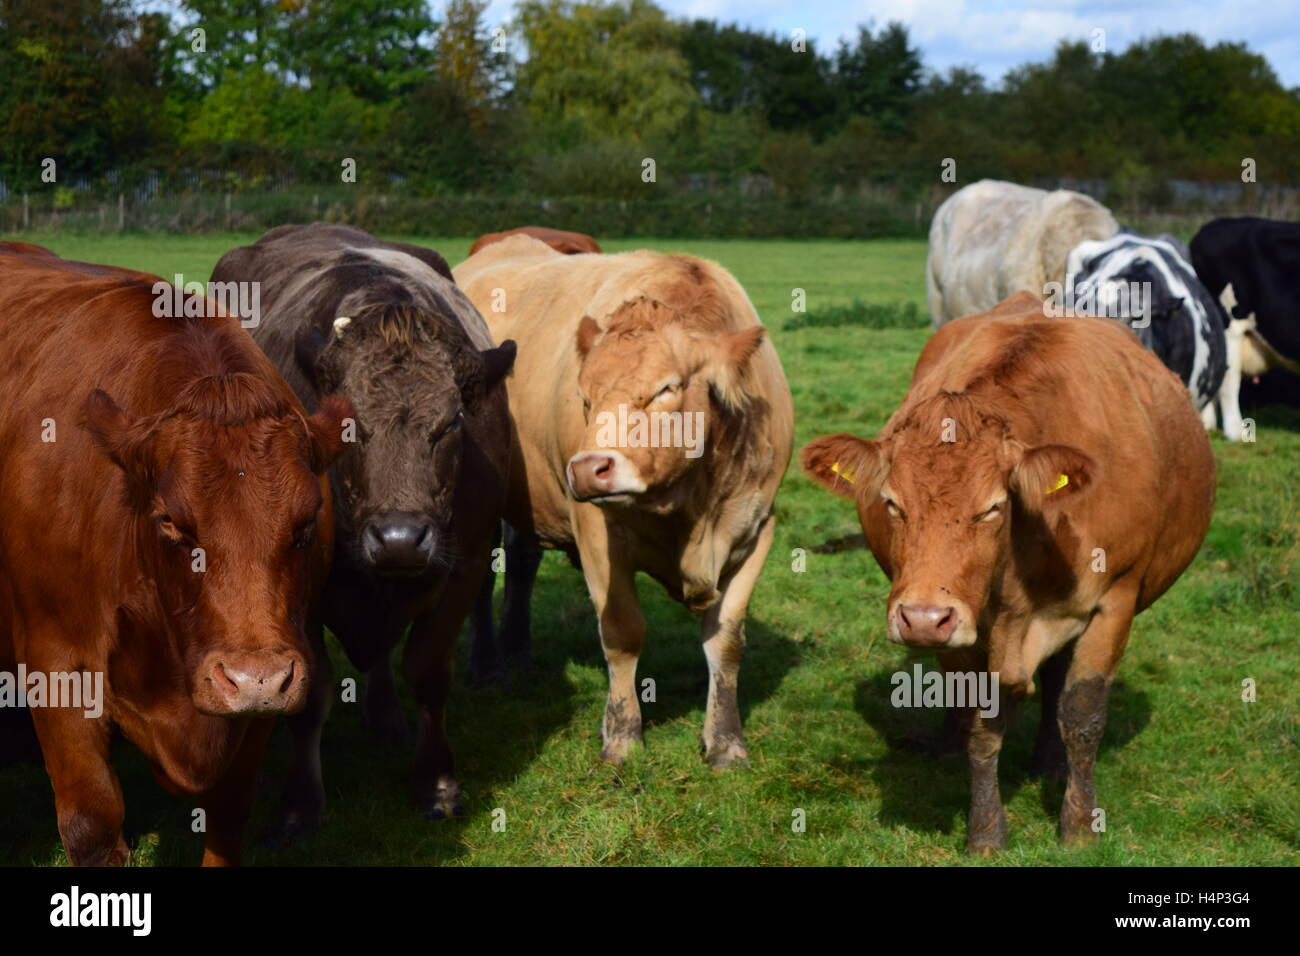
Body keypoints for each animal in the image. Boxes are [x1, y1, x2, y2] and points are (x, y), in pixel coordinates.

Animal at [0, 242, 351, 865]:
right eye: (169, 520)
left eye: (307, 523)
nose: (253, 678)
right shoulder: (54, 659)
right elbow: (92, 822)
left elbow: (229, 815)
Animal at [210, 223, 515, 841]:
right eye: (348, 425)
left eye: (451, 423)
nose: (399, 539)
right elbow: (309, 694)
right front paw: (300, 804)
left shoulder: (467, 564)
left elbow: (428, 671)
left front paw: (437, 783)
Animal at [454, 235, 793, 768]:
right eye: (584, 396)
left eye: (667, 388)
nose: (587, 468)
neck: (691, 507)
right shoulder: (596, 532)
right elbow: (622, 632)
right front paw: (622, 736)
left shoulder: (756, 529)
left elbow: (726, 642)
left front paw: (725, 741)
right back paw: (489, 665)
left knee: (524, 561)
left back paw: (520, 650)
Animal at [802, 292, 1215, 852]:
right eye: (891, 503)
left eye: (993, 507)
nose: (923, 617)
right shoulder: (967, 627)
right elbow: (981, 723)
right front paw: (985, 831)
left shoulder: (1117, 597)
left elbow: (1083, 711)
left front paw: (1078, 826)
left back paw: (1050, 762)